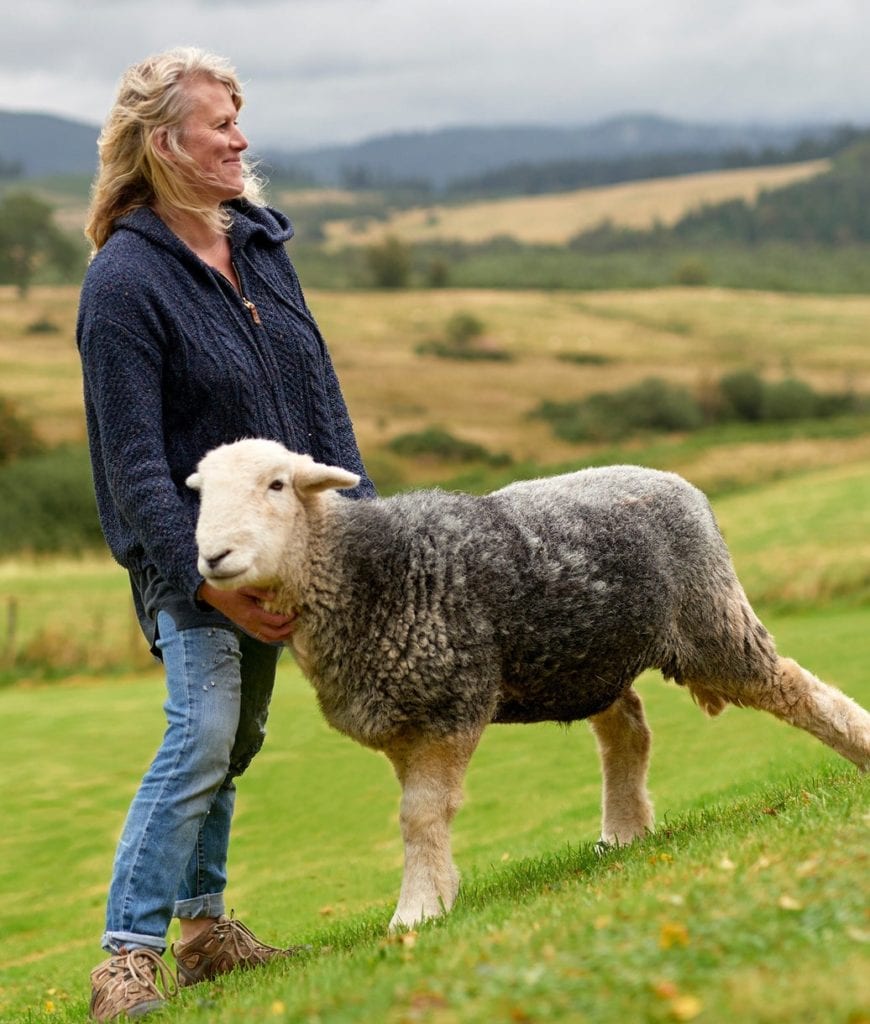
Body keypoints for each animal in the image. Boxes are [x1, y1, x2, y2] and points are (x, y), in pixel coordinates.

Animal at [187, 438, 870, 930]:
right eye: (202, 496)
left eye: (277, 485)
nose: (212, 558)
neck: (361, 572)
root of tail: (675, 481)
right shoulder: (406, 719)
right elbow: (415, 817)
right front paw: (436, 892)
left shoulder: (448, 706)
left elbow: (422, 814)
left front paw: (416, 911)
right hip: (588, 656)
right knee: (629, 731)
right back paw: (624, 830)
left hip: (711, 622)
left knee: (794, 688)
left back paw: (858, 746)